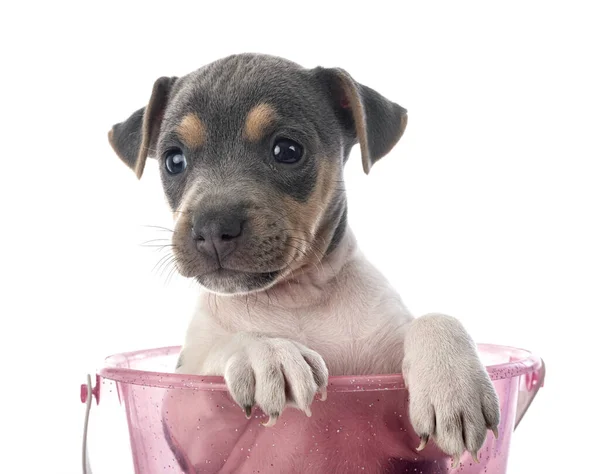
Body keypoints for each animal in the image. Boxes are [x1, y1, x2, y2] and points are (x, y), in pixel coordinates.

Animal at [109, 53, 502, 472]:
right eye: (174, 160)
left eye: (287, 150)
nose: (213, 229)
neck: (297, 299)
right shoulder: (191, 433)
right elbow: (223, 347)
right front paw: (266, 352)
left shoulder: (402, 429)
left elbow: (436, 319)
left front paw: (454, 386)